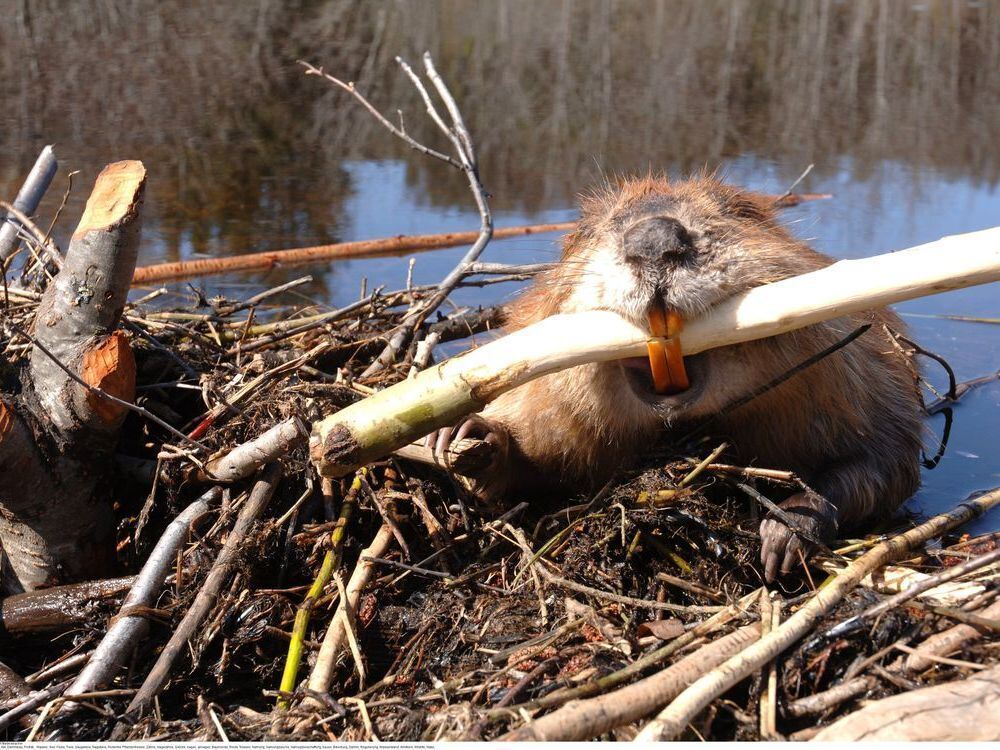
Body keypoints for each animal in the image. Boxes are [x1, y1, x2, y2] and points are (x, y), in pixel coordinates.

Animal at [430, 175, 920, 580]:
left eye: (737, 209)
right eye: (589, 227)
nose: (653, 241)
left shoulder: (869, 377)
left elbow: (886, 464)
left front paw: (786, 531)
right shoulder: (550, 411)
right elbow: (532, 467)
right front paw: (466, 434)